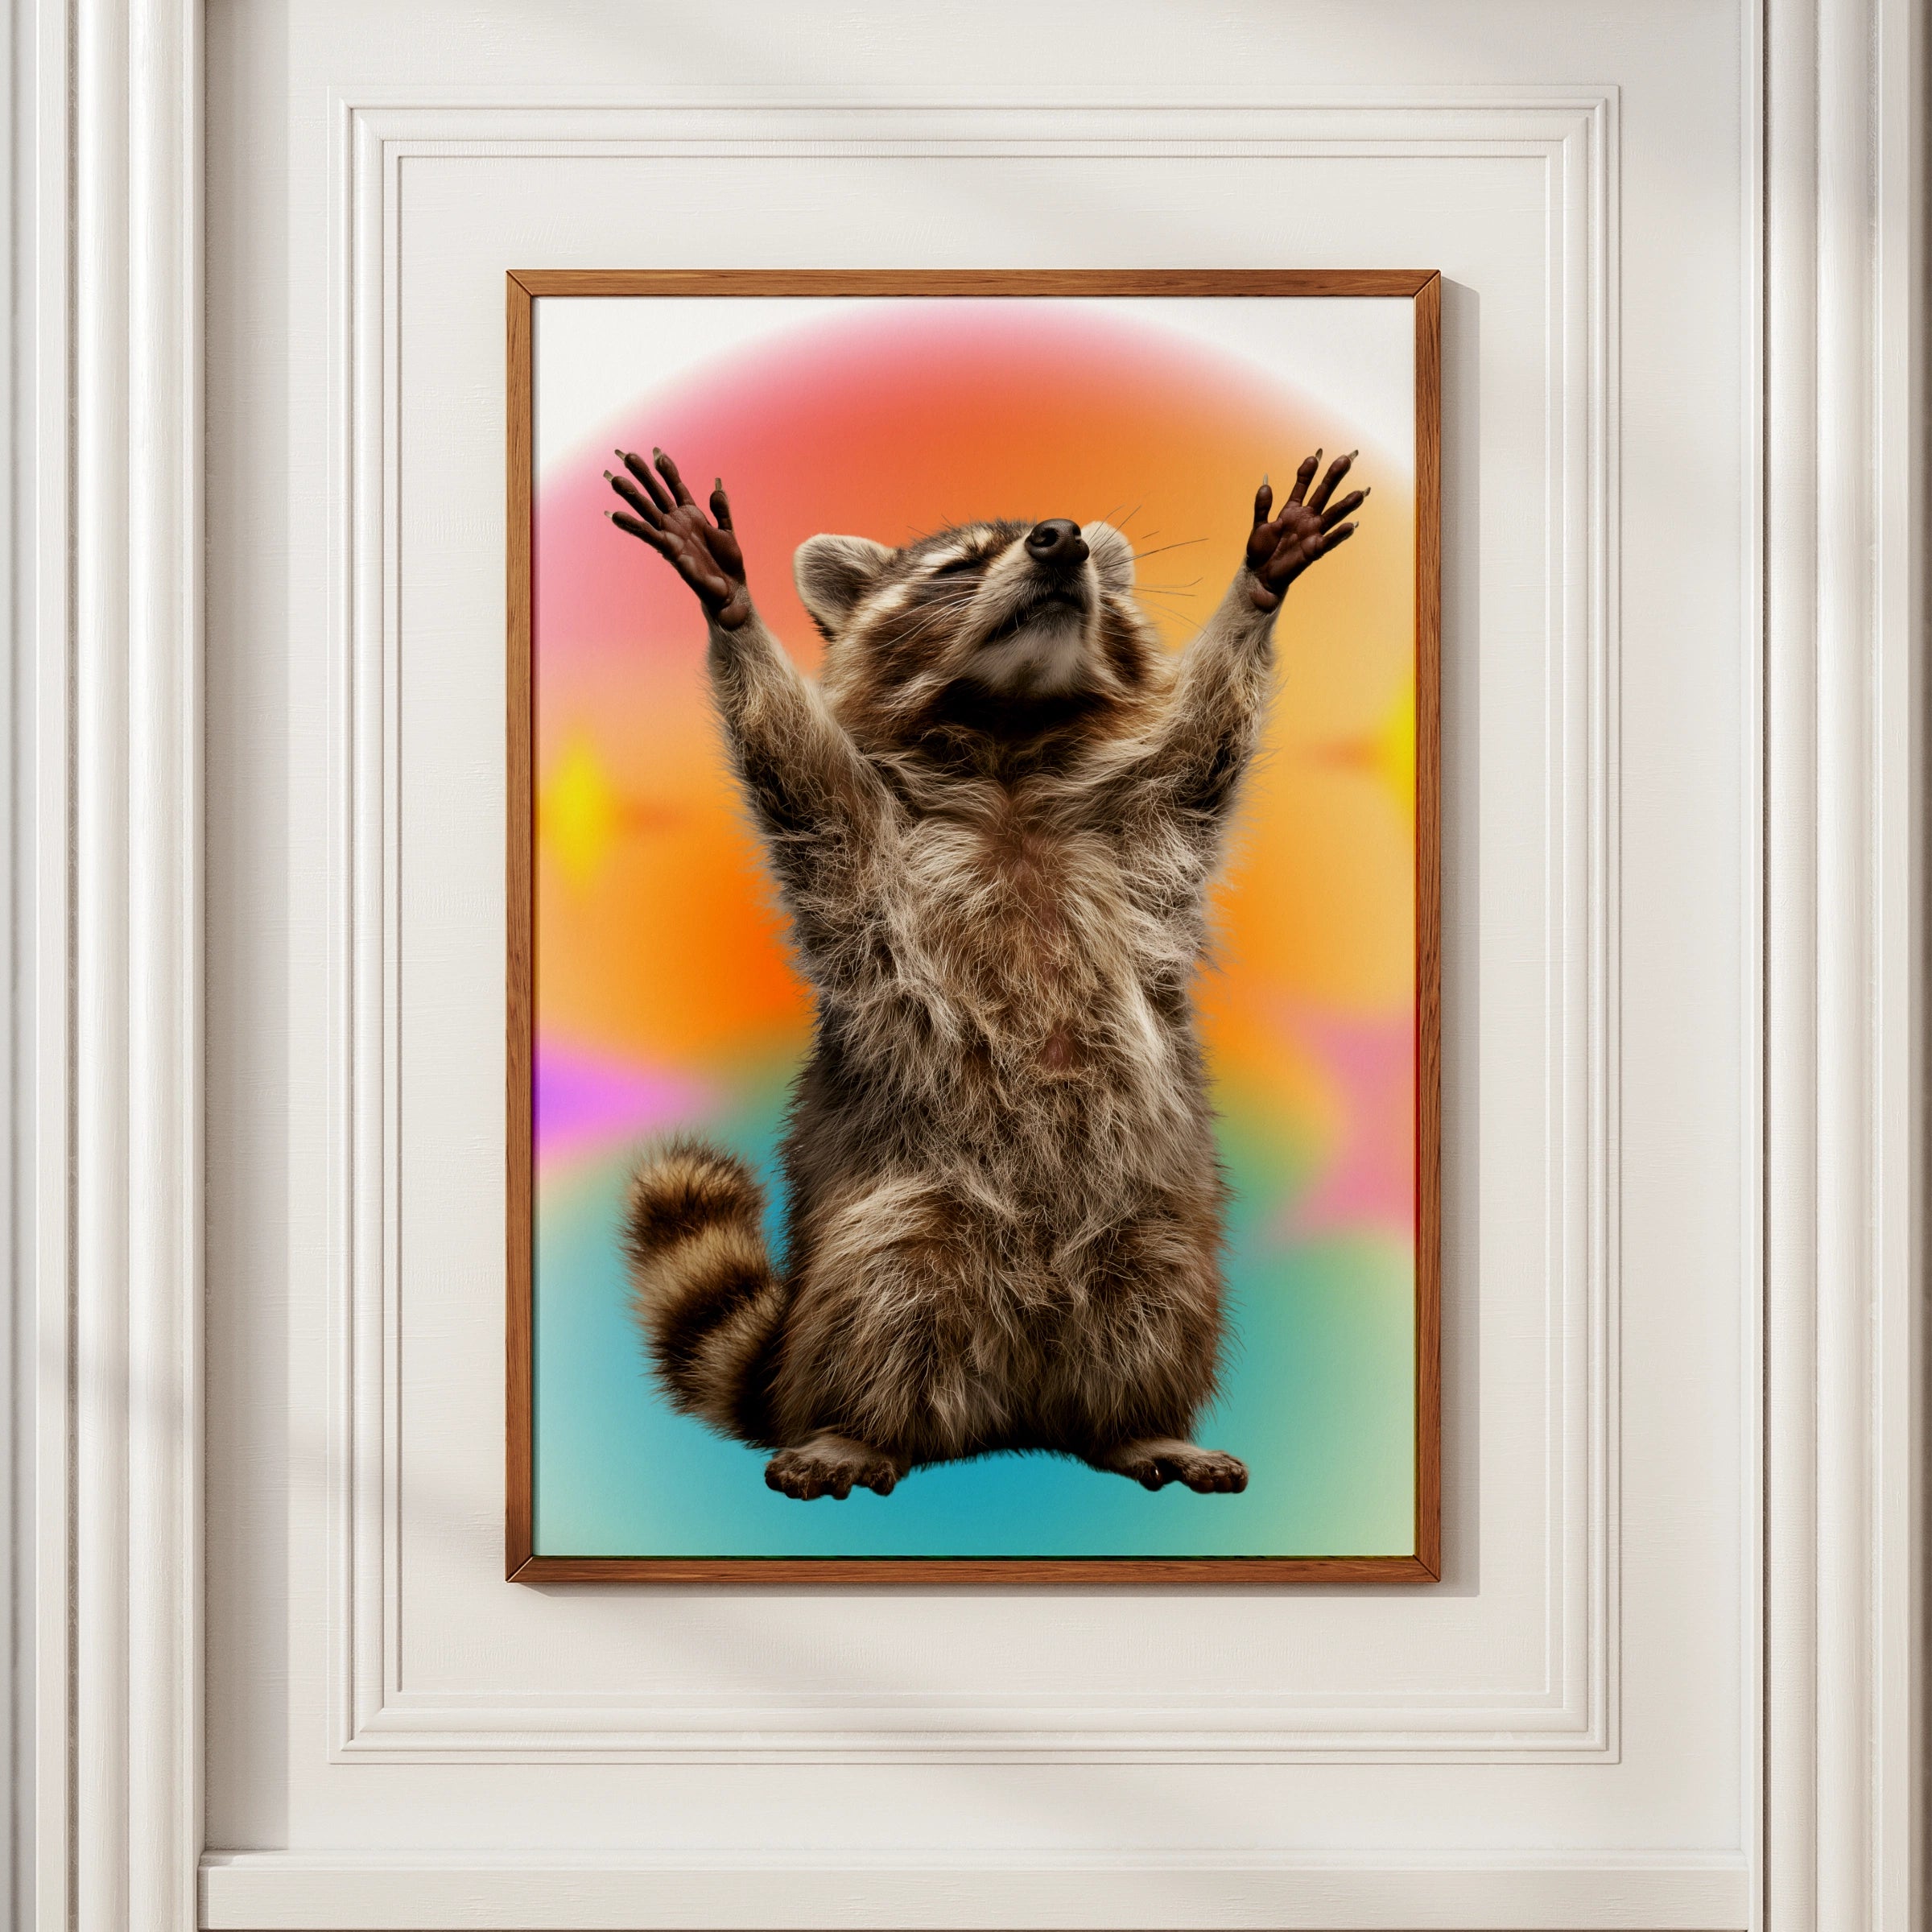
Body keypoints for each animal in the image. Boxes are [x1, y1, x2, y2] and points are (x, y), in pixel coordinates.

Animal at [603, 444, 1367, 1499]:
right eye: (960, 566)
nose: (1060, 539)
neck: (1010, 743)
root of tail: (1016, 1402)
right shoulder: (867, 851)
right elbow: (798, 765)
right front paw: (731, 608)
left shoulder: (1145, 830)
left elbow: (1204, 740)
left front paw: (1257, 592)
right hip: (905, 1212)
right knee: (885, 1288)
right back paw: (861, 1428)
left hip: (1153, 1217)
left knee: (1161, 1293)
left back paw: (1139, 1426)